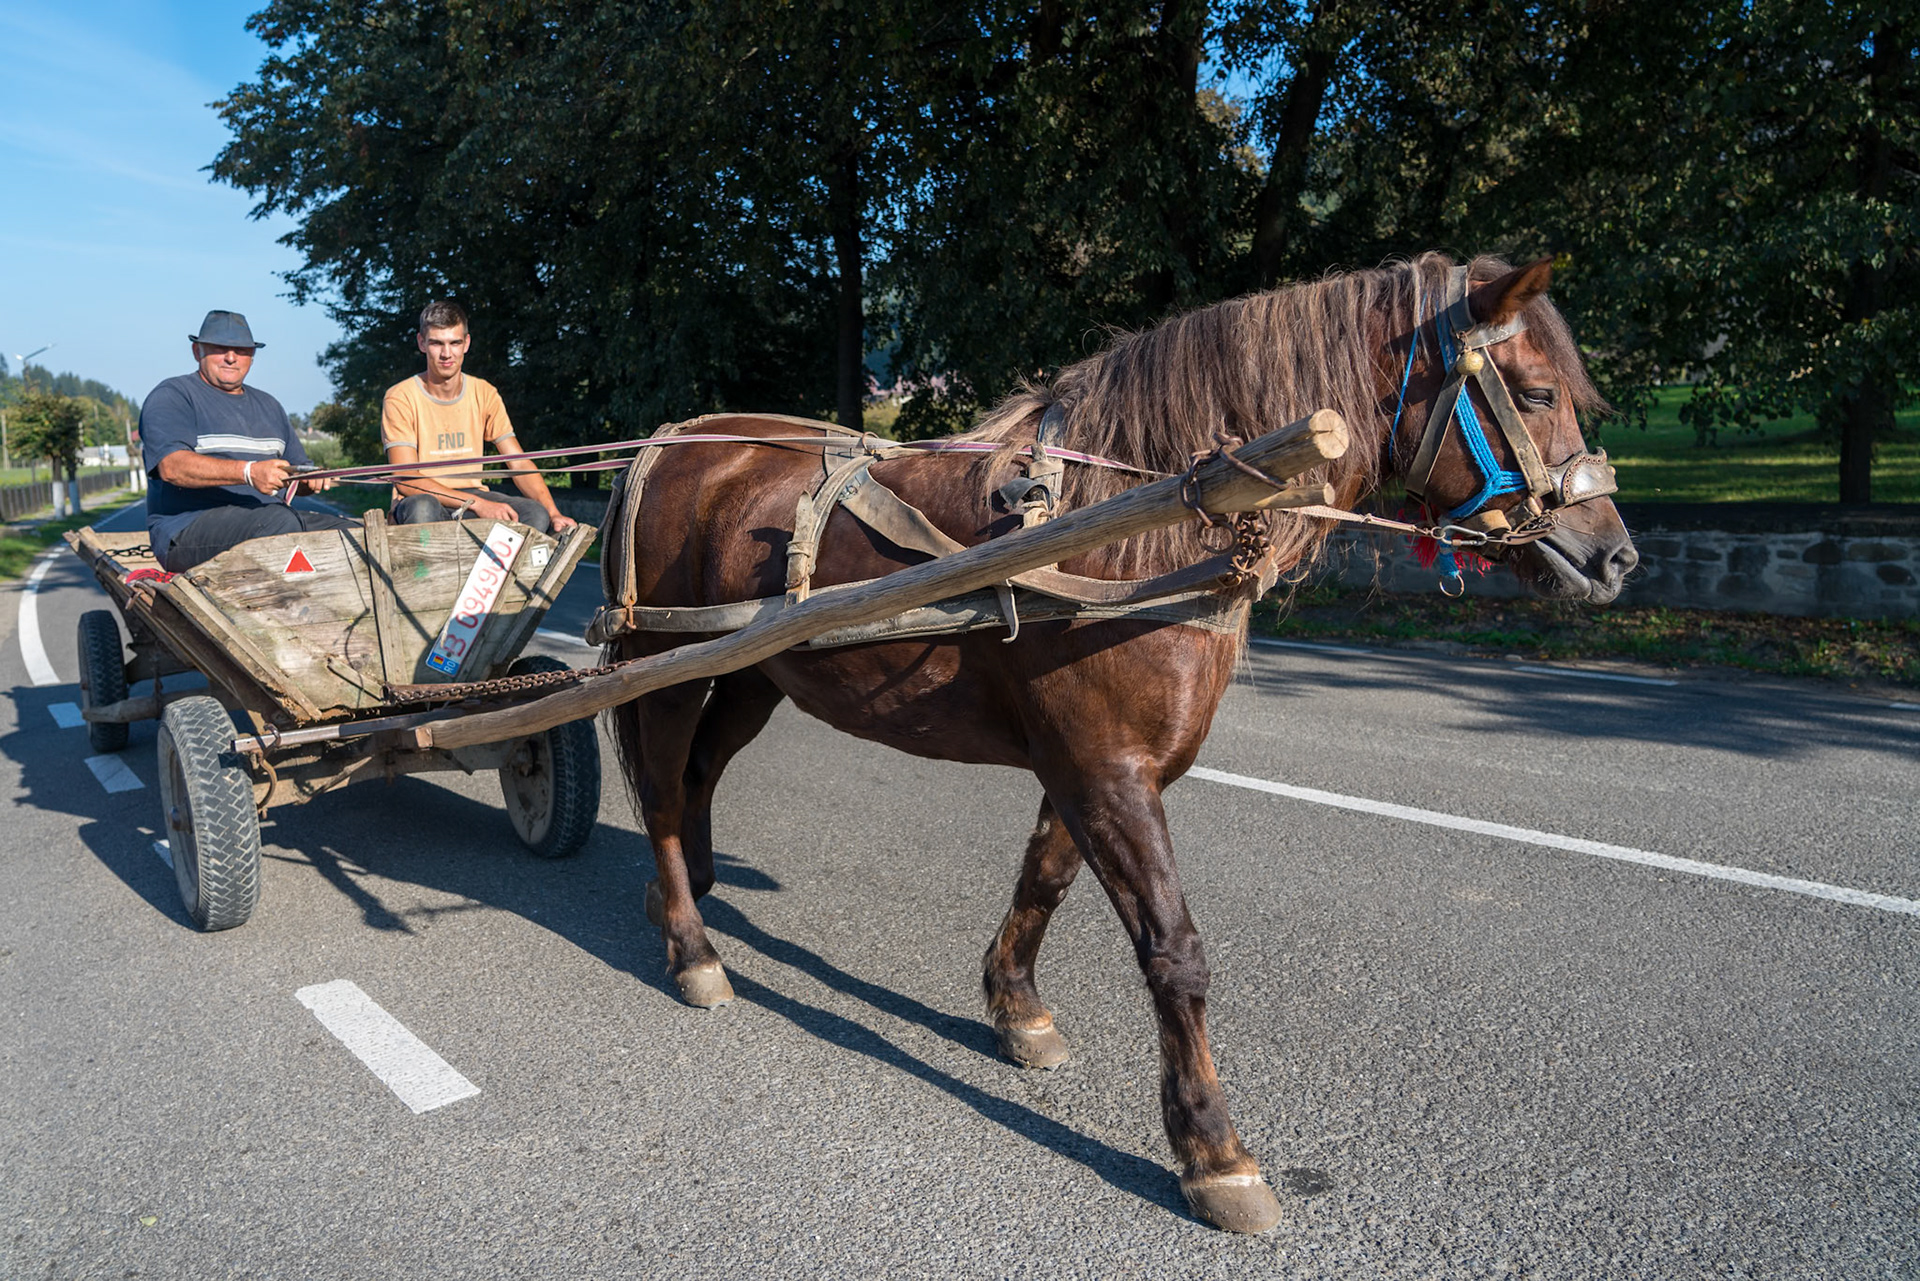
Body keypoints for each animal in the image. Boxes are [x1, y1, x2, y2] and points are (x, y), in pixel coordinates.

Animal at [598, 253, 1638, 1233]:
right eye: (1535, 393)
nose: (1616, 555)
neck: (1131, 528)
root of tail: (676, 442)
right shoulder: (1109, 769)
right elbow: (1175, 951)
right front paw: (1213, 1148)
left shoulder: (1092, 766)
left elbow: (1046, 879)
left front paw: (1016, 1007)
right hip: (665, 666)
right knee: (662, 790)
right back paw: (691, 945)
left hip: (753, 675)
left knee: (697, 776)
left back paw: (683, 893)